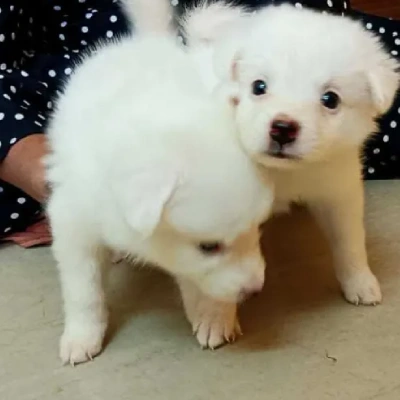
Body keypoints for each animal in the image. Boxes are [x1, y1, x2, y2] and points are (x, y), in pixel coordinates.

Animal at [180, 2, 398, 304]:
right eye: (258, 86)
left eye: (330, 99)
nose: (282, 128)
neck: (283, 173)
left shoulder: (339, 191)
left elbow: (349, 241)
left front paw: (359, 281)